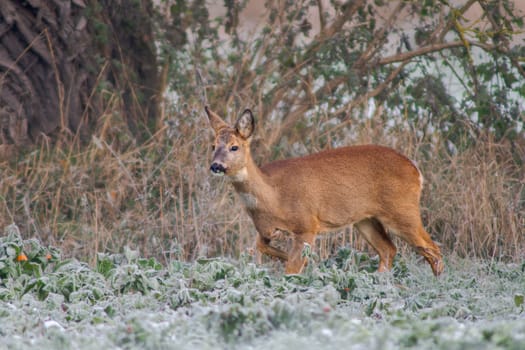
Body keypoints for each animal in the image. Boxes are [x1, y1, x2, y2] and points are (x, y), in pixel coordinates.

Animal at [205, 106, 442, 276]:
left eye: (234, 147)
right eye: (213, 146)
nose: (216, 166)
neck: (273, 196)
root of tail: (416, 170)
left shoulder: (307, 224)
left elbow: (292, 270)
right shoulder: (265, 231)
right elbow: (264, 249)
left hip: (402, 211)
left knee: (433, 250)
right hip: (365, 219)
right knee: (389, 250)